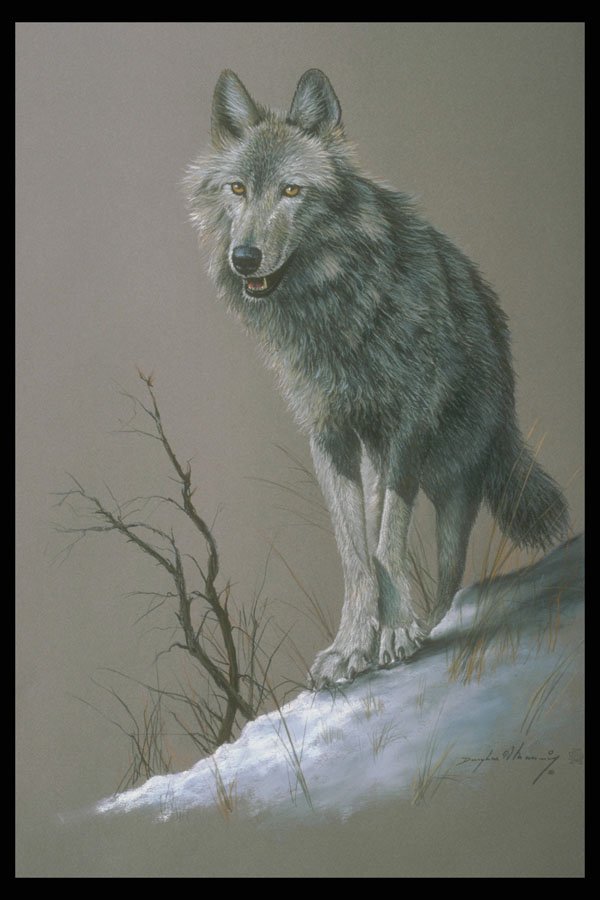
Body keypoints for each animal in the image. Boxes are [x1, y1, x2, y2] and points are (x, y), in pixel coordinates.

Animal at [186, 69, 569, 689]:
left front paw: (394, 633)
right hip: (380, 460)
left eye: (292, 192)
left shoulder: (407, 426)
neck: (338, 310)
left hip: (451, 476)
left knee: (448, 572)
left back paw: (420, 624)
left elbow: (387, 545)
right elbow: (355, 555)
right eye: (238, 189)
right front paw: (349, 647)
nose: (244, 258)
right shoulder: (329, 438)